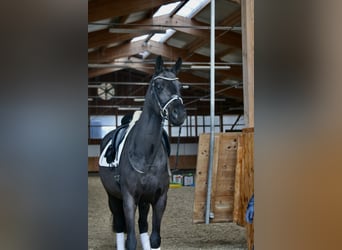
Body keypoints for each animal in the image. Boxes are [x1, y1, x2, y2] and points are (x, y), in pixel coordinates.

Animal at [97, 56, 186, 250]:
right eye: (158, 85)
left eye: (180, 86)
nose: (179, 114)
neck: (146, 154)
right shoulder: (129, 199)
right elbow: (130, 240)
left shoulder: (159, 199)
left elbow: (155, 239)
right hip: (113, 197)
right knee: (120, 225)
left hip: (144, 200)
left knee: (143, 224)